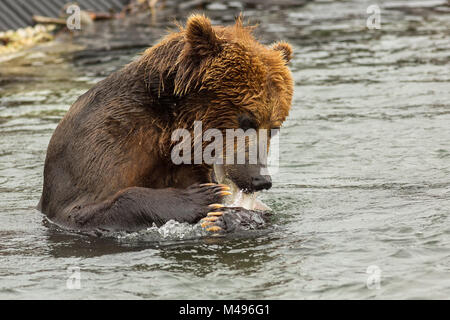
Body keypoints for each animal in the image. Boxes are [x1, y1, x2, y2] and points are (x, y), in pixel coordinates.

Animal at [37, 13, 294, 234]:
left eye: (273, 127)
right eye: (247, 120)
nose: (261, 179)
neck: (172, 129)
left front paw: (234, 216)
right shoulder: (102, 142)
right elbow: (81, 208)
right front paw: (205, 196)